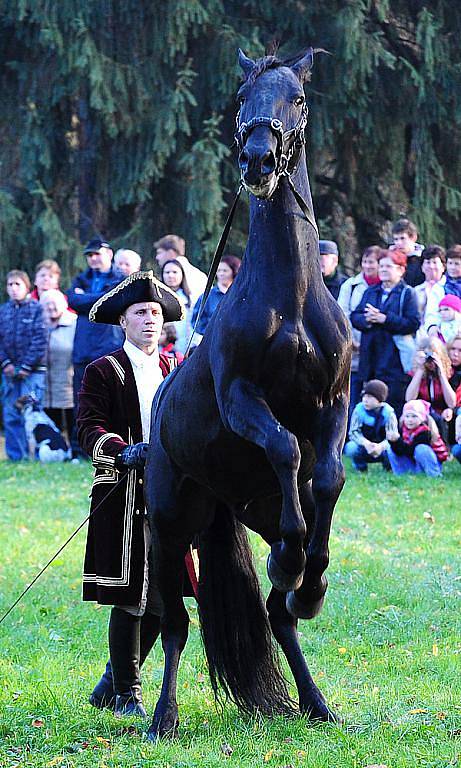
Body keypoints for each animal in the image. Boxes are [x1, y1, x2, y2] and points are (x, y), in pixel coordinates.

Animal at [146, 46, 350, 736]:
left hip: (248, 508)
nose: (259, 160)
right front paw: (290, 563)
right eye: (242, 99)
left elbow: (328, 477)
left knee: (279, 614)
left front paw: (310, 579)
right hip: (168, 520)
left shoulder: (335, 403)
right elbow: (284, 446)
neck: (290, 296)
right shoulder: (240, 398)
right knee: (172, 622)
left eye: (298, 99)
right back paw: (161, 717)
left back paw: (316, 700)